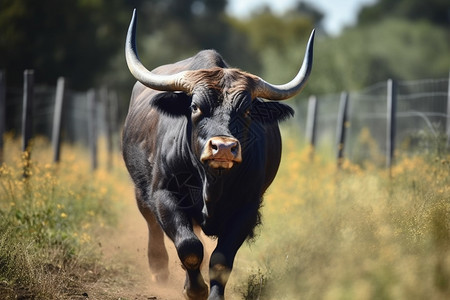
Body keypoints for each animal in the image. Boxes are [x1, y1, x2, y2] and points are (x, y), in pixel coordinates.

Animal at [121, 9, 314, 300]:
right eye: (195, 107)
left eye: (246, 110)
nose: (223, 147)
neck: (212, 182)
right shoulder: (164, 194)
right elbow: (189, 247)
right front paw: (194, 289)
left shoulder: (247, 207)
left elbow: (221, 259)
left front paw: (211, 292)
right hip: (140, 190)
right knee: (153, 226)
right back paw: (159, 270)